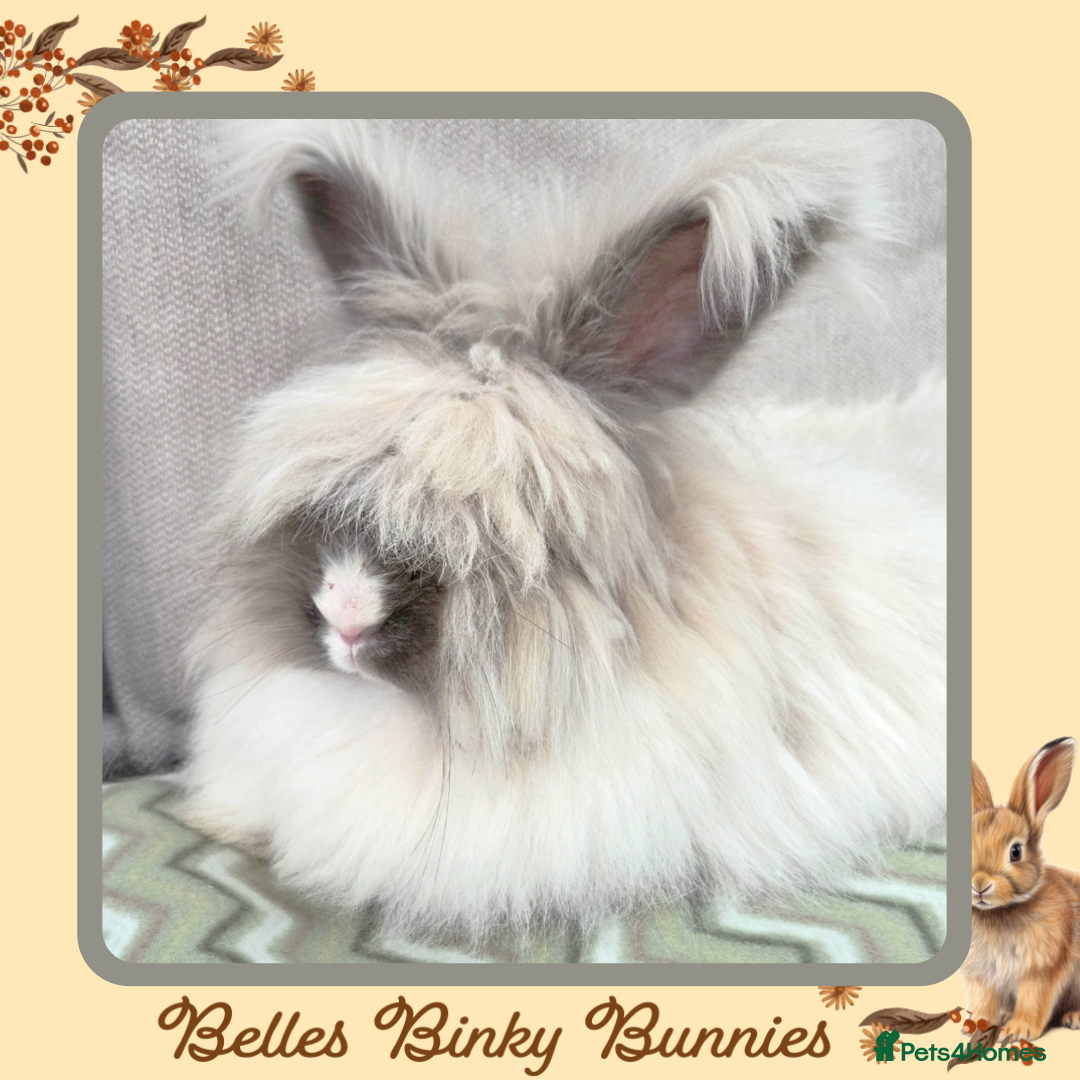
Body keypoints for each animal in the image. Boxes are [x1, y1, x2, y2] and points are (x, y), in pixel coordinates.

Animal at [963, 739, 1080, 1040]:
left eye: (1015, 852)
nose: (979, 885)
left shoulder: (1040, 971)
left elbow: (1033, 1001)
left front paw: (1017, 1032)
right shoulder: (983, 976)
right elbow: (983, 1000)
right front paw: (974, 1025)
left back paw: (1073, 1017)